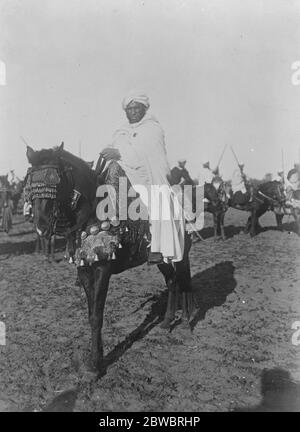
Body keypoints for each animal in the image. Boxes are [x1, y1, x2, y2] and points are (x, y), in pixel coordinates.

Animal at [25, 143, 195, 372]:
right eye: (31, 182)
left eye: (55, 181)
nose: (41, 227)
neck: (91, 211)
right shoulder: (85, 270)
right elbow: (91, 314)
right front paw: (96, 357)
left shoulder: (102, 270)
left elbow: (97, 315)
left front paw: (95, 366)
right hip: (162, 258)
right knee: (172, 280)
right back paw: (167, 321)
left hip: (181, 253)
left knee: (184, 280)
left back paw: (185, 321)